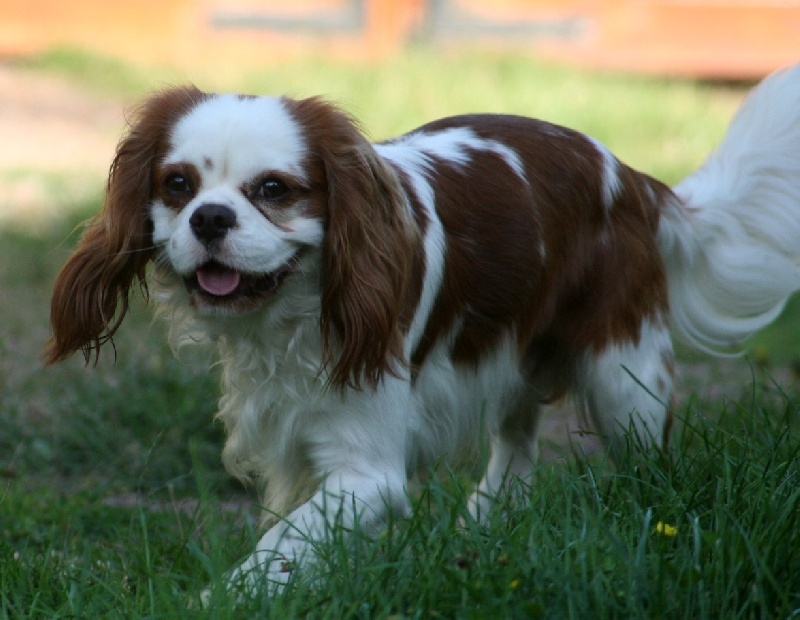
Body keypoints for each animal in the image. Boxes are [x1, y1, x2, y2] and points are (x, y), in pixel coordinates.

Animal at [45, 64, 800, 592]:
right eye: (177, 185)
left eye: (273, 190)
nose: (209, 218)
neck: (292, 312)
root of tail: (636, 177)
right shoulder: (293, 446)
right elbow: (290, 538)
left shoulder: (367, 471)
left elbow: (278, 550)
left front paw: (225, 599)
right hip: (509, 357)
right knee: (517, 443)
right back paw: (485, 525)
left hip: (624, 380)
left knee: (650, 465)